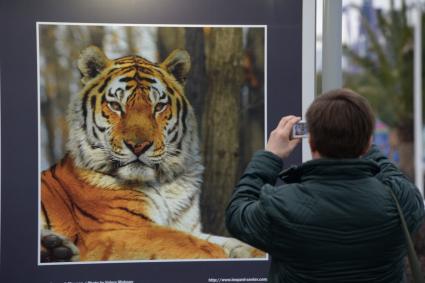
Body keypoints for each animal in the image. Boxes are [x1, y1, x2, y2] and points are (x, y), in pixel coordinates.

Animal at [40, 46, 264, 262]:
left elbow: (233, 243)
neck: (165, 182)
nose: (138, 146)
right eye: (116, 106)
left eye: (159, 107)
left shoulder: (185, 226)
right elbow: (195, 245)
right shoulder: (114, 232)